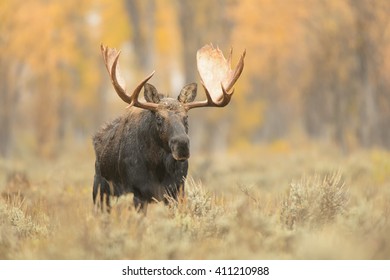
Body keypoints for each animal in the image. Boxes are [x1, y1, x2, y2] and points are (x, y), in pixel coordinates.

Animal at [93, 43, 245, 212]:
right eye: (159, 118)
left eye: (186, 117)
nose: (182, 144)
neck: (157, 168)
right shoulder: (137, 192)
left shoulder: (177, 190)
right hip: (100, 189)